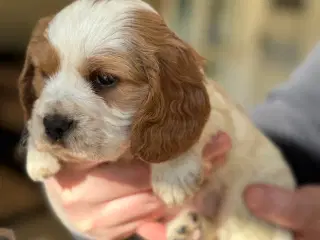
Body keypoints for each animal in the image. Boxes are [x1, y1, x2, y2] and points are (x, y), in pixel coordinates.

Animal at [17, 0, 296, 240]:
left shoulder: (219, 111)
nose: (53, 125)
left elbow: (200, 128)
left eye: (105, 79)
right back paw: (187, 228)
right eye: (44, 73)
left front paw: (173, 175)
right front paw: (39, 154)